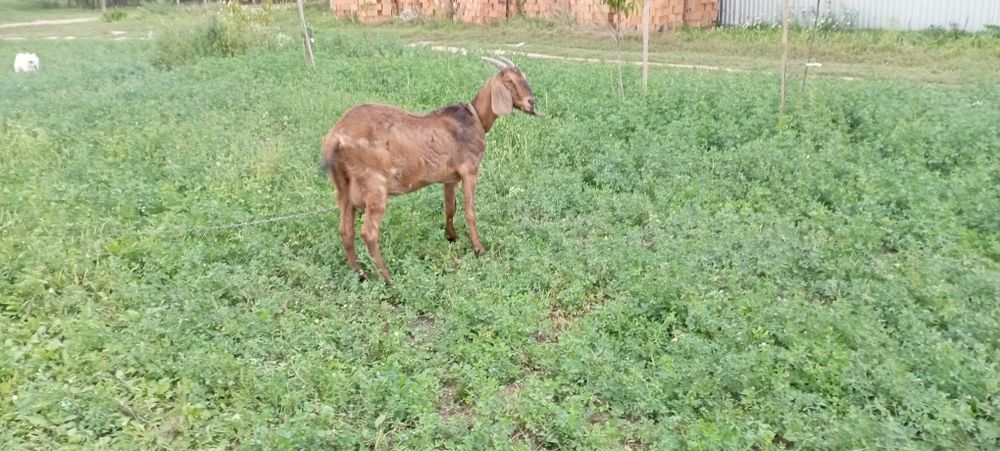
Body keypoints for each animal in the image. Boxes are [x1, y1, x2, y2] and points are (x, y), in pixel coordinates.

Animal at [322, 56, 541, 283]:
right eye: (509, 81)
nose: (531, 102)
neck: (475, 118)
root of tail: (336, 138)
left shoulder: (450, 178)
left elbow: (450, 208)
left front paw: (451, 236)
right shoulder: (470, 171)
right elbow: (470, 211)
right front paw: (478, 249)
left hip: (343, 189)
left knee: (345, 231)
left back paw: (360, 274)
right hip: (374, 187)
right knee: (368, 233)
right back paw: (388, 278)